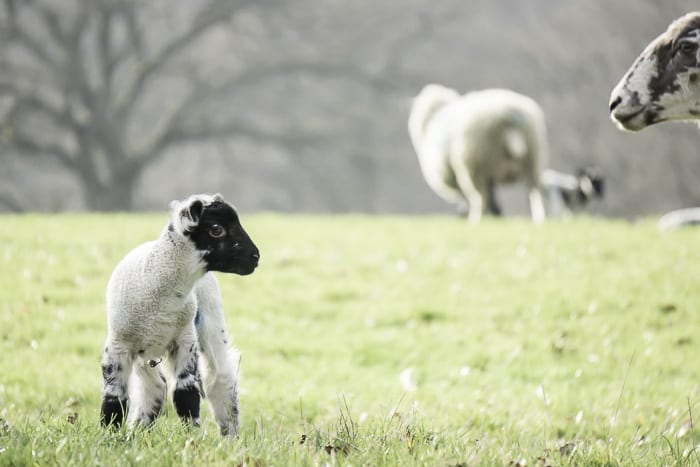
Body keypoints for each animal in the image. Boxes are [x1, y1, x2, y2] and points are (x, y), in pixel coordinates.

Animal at [99, 192, 260, 436]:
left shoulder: (185, 340)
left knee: (221, 377)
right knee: (156, 386)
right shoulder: (118, 344)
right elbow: (114, 397)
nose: (255, 257)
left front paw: (191, 436)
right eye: (216, 229)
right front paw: (108, 434)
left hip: (210, 319)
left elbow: (186, 393)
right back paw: (140, 428)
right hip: (144, 350)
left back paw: (230, 435)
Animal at [408, 84, 548, 225]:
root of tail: (510, 117)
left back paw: (476, 218)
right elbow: (492, 192)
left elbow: (471, 195)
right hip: (533, 160)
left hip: (474, 163)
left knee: (480, 195)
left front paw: (467, 212)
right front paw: (496, 213)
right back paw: (538, 219)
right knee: (535, 192)